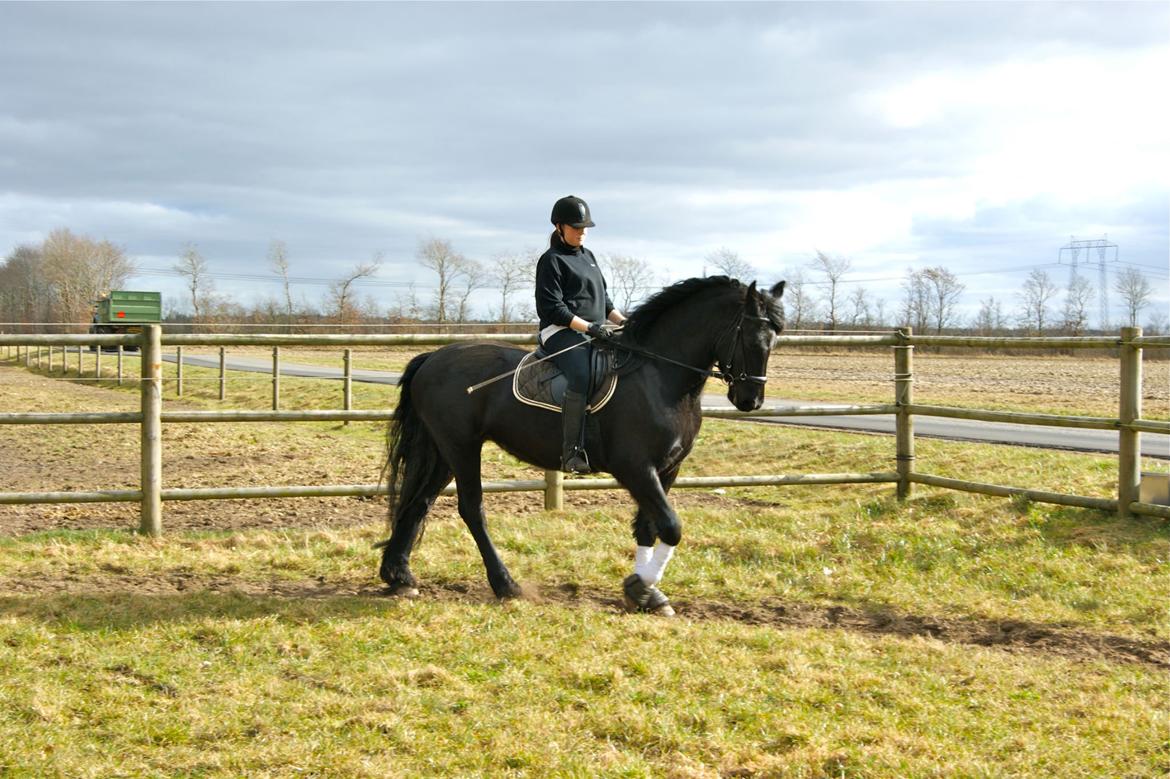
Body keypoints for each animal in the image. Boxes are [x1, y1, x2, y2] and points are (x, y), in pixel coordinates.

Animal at [379, 276, 786, 608]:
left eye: (774, 340)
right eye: (751, 338)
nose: (751, 400)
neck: (659, 377)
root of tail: (434, 356)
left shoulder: (667, 469)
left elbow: (649, 527)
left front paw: (645, 592)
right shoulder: (635, 468)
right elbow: (671, 526)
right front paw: (641, 588)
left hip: (441, 449)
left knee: (418, 502)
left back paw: (399, 577)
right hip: (461, 447)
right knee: (470, 509)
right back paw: (506, 585)